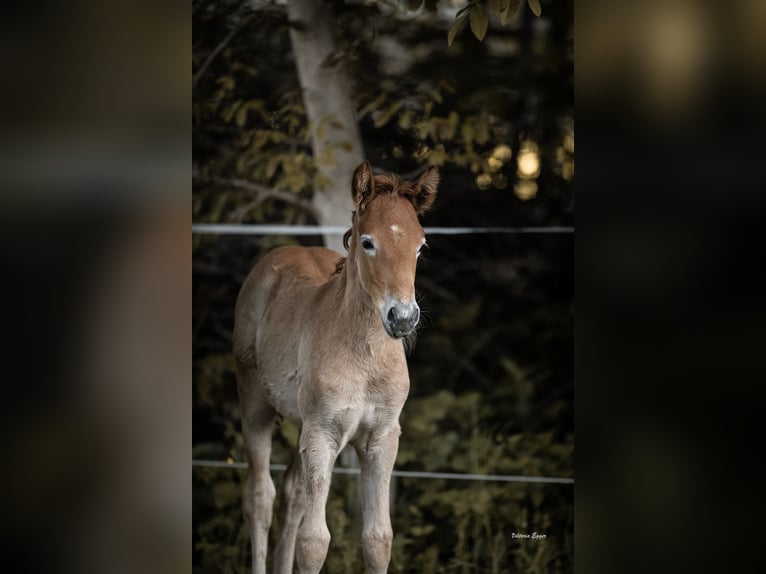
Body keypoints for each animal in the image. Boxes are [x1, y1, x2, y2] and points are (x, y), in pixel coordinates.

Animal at [233, 161, 439, 574]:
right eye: (368, 242)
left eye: (421, 246)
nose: (403, 318)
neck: (365, 357)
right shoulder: (322, 434)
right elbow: (314, 543)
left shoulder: (381, 438)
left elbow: (378, 539)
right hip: (256, 405)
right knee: (260, 497)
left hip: (300, 423)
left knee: (292, 495)